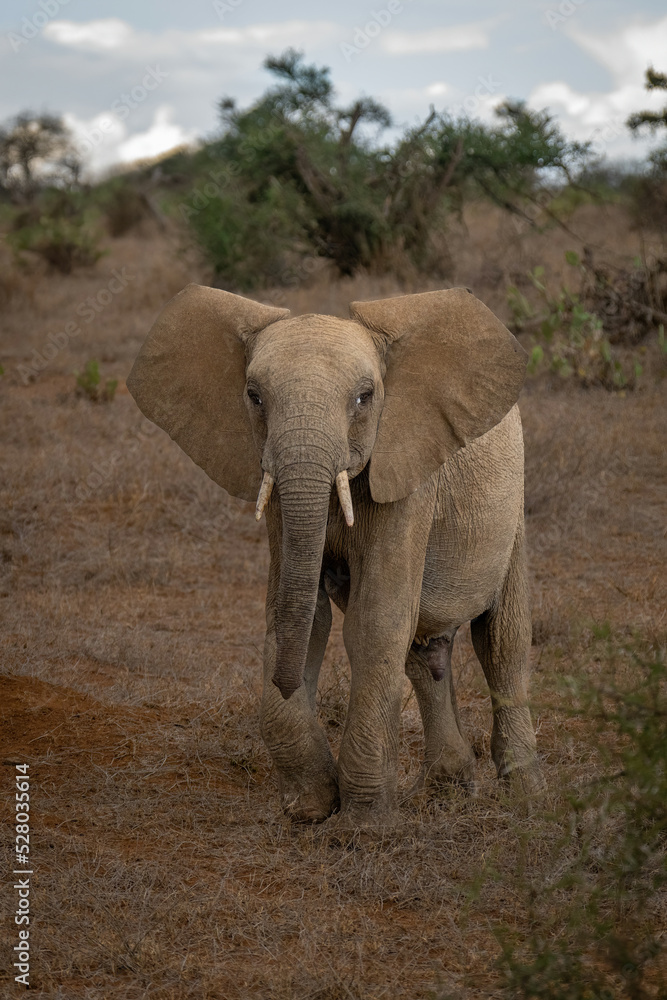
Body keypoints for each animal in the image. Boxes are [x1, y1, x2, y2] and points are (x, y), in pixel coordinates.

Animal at [127, 283, 545, 825]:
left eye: (365, 397)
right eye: (254, 396)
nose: (284, 684)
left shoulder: (406, 471)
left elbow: (374, 620)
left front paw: (362, 826)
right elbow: (302, 616)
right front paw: (311, 807)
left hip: (512, 510)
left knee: (501, 640)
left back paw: (526, 800)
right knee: (424, 650)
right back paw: (445, 794)